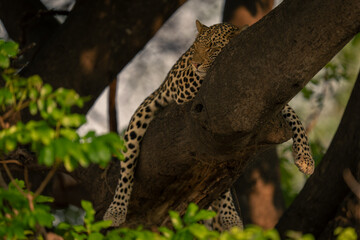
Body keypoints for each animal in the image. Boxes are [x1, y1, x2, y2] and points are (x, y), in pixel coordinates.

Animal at [102, 20, 314, 231]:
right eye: (196, 47)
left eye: (212, 46)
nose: (195, 63)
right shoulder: (183, 83)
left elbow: (294, 116)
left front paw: (306, 158)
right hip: (143, 117)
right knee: (127, 168)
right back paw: (116, 211)